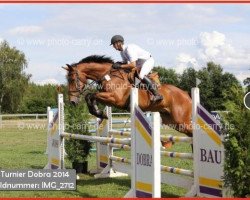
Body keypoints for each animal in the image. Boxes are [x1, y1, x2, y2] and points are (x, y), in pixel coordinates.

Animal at [63, 54, 192, 145]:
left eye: (72, 79)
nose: (72, 101)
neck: (108, 76)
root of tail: (186, 95)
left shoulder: (114, 98)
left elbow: (91, 95)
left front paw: (100, 113)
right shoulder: (108, 98)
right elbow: (89, 96)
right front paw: (99, 113)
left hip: (180, 120)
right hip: (171, 121)